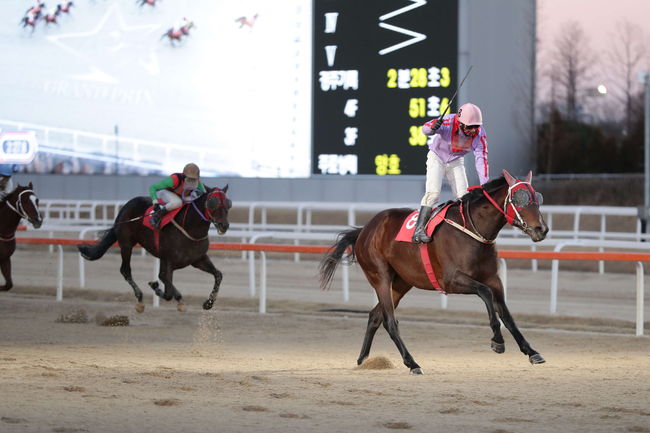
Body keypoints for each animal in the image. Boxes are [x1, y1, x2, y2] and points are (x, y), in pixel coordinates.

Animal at [78, 185, 230, 310]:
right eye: (213, 202)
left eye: (228, 204)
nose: (224, 225)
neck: (189, 228)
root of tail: (126, 206)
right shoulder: (168, 260)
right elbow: (166, 288)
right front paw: (157, 288)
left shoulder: (198, 259)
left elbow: (218, 275)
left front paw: (208, 303)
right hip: (126, 244)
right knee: (126, 270)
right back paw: (140, 299)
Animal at [318, 170, 548, 372]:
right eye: (519, 198)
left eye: (537, 198)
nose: (542, 229)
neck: (472, 230)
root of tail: (364, 229)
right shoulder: (451, 280)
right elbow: (486, 293)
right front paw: (497, 341)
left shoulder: (493, 279)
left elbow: (507, 315)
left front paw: (531, 351)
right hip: (380, 277)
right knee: (390, 321)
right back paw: (412, 363)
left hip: (402, 282)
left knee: (375, 315)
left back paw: (363, 360)